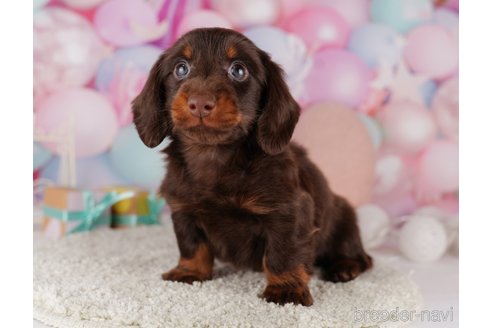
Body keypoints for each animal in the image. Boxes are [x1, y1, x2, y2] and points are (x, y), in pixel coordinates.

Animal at [133, 28, 370, 308]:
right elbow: (191, 244)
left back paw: (344, 267)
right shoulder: (183, 209)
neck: (214, 155)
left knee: (361, 257)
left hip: (344, 218)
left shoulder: (287, 211)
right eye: (181, 68)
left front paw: (286, 290)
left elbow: (283, 253)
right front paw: (189, 271)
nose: (200, 103)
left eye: (238, 70)